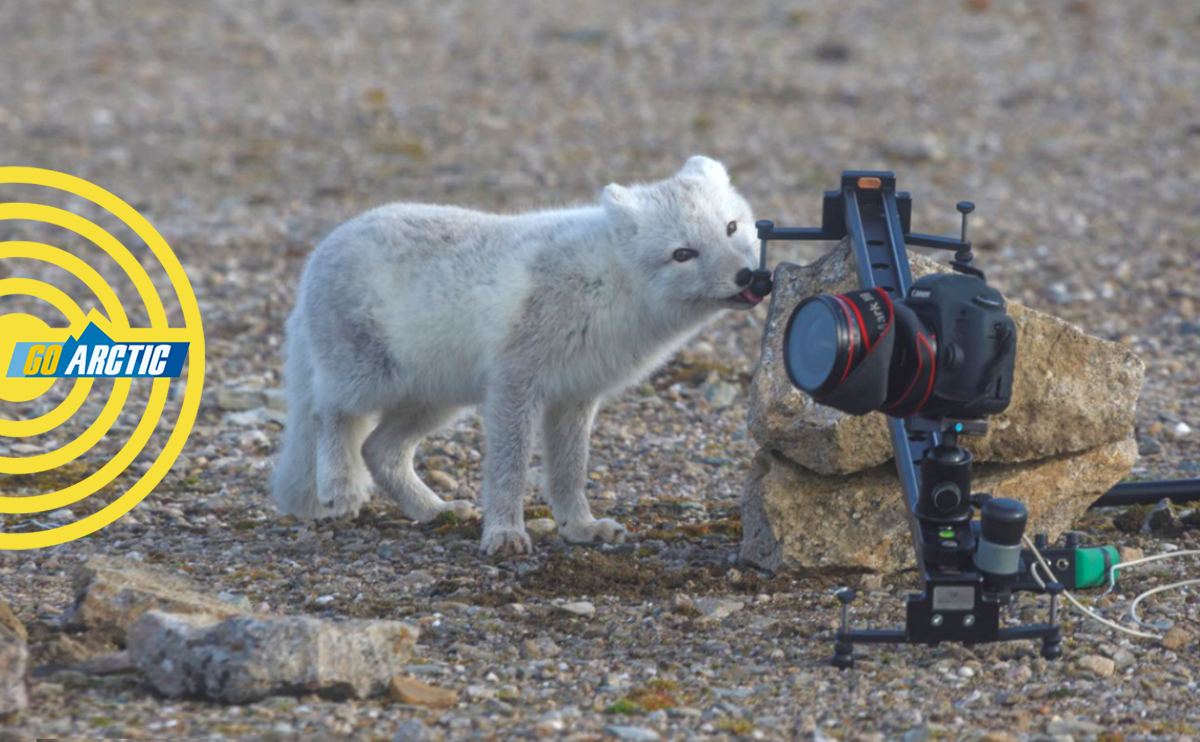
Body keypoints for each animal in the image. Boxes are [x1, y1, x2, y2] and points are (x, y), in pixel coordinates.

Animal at [271, 156, 758, 552]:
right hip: (369, 380)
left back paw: (435, 510)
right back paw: (339, 487)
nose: (748, 276)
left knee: (378, 450)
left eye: (731, 228)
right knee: (327, 412)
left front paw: (580, 528)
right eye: (683, 254)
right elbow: (510, 468)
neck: (612, 282)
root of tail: (319, 252)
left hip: (438, 400)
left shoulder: (575, 396)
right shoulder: (515, 383)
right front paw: (504, 534)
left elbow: (569, 472)